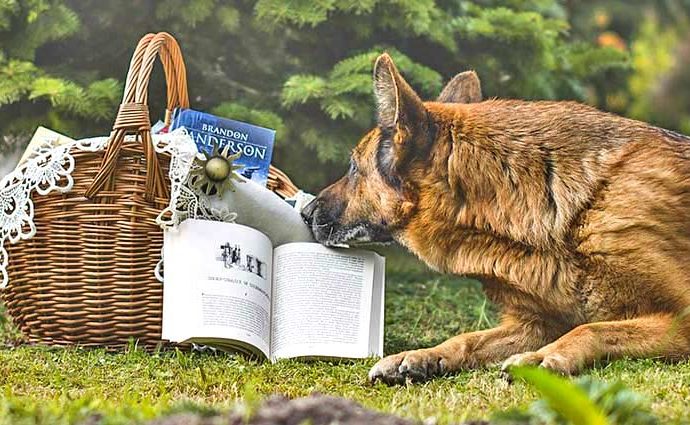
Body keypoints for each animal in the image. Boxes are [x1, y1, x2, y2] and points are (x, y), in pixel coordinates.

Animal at [300, 53, 688, 384]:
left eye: (353, 167)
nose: (304, 213)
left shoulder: (682, 317)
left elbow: (593, 328)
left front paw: (542, 357)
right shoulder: (535, 324)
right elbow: (467, 338)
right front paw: (421, 355)